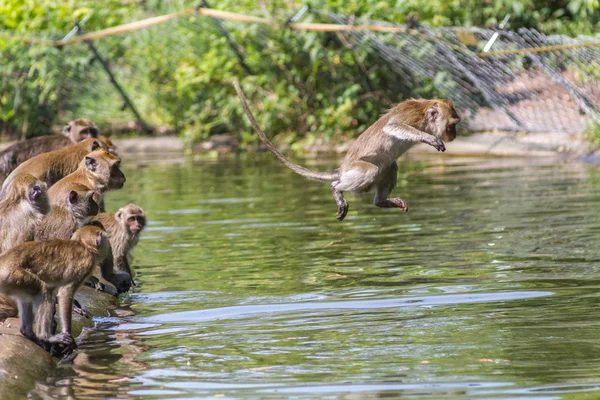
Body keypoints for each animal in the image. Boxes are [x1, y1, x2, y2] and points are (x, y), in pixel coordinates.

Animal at [232, 79, 462, 220]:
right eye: (452, 125)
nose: (454, 135)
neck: (424, 113)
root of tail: (342, 169)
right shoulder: (411, 116)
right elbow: (392, 126)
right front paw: (429, 138)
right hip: (356, 168)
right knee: (369, 171)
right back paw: (336, 188)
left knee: (390, 166)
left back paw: (381, 202)